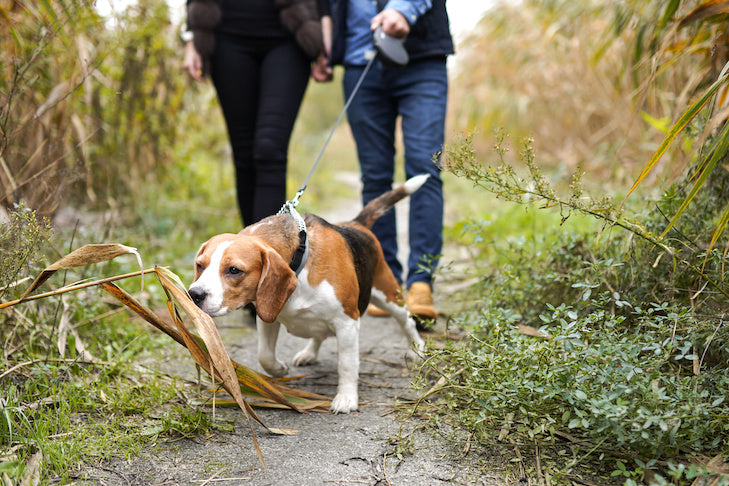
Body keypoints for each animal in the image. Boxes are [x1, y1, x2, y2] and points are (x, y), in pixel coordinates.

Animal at [188, 175, 426, 414]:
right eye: (200, 265)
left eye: (234, 270)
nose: (194, 294)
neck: (300, 261)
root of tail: (355, 224)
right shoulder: (267, 315)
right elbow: (264, 355)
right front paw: (279, 370)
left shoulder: (347, 322)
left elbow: (347, 364)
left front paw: (346, 397)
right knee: (318, 333)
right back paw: (309, 353)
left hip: (389, 296)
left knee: (407, 321)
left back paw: (418, 349)